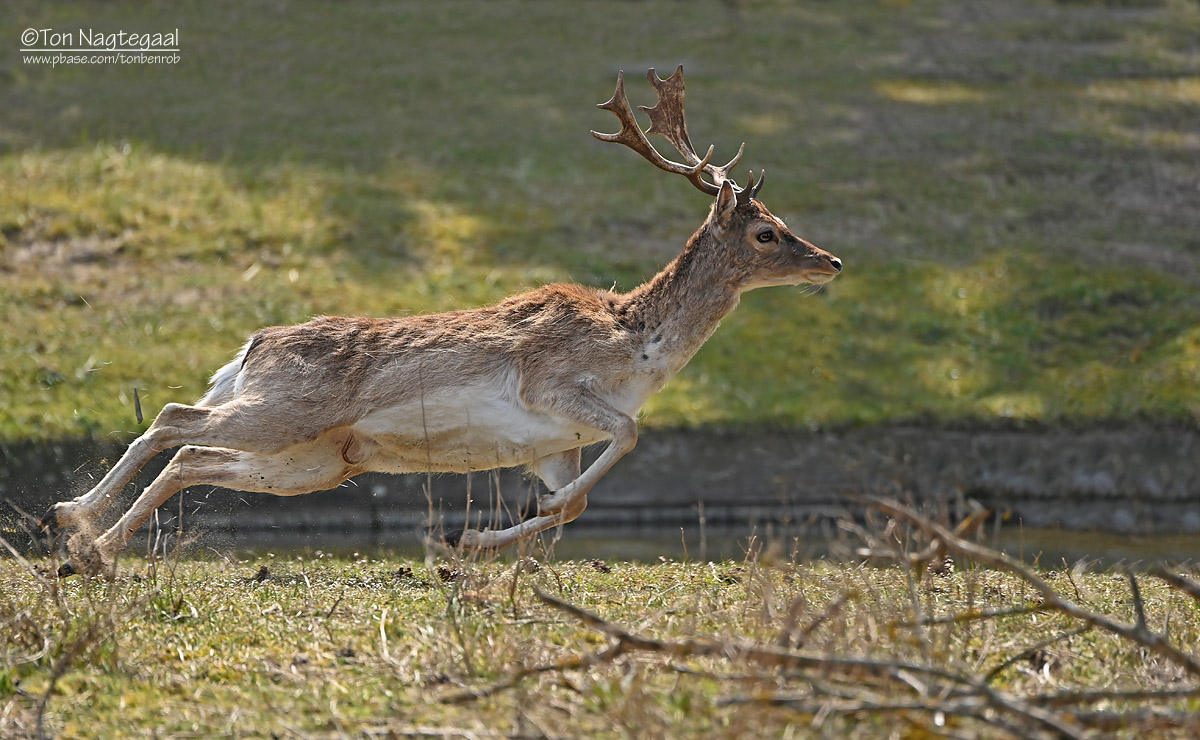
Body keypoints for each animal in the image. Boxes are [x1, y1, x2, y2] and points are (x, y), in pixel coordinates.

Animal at [39, 66, 844, 573]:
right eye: (767, 231)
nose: (832, 261)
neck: (637, 351)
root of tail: (249, 348)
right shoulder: (550, 385)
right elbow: (628, 436)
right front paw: (482, 531)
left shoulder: (554, 444)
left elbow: (574, 503)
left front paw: (471, 540)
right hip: (284, 411)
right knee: (174, 418)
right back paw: (74, 522)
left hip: (315, 460)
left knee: (193, 455)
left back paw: (91, 545)